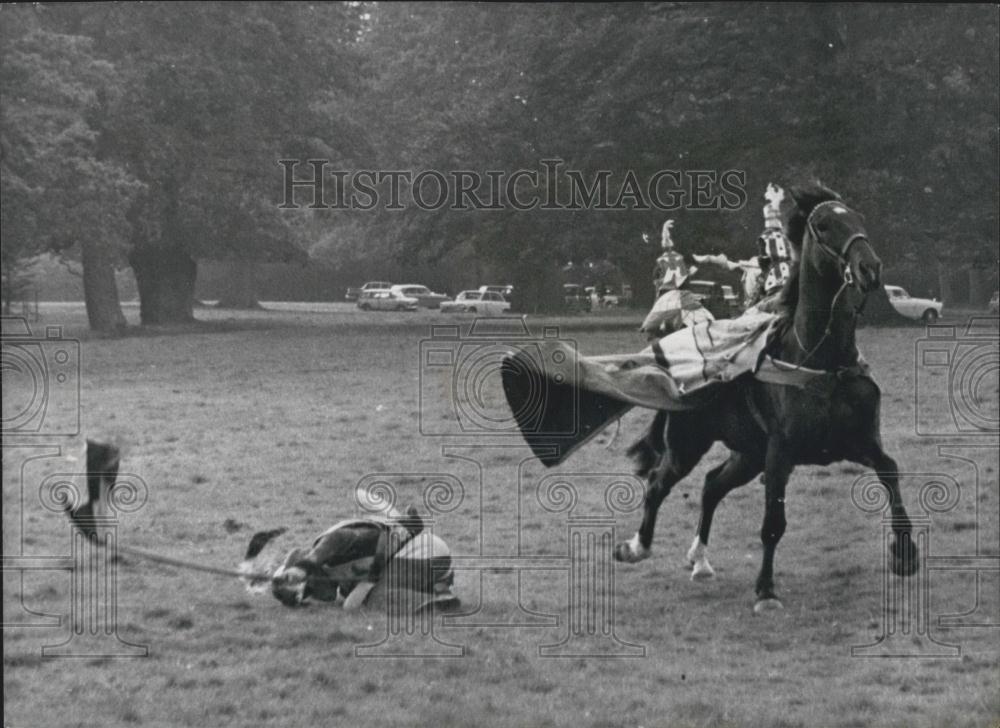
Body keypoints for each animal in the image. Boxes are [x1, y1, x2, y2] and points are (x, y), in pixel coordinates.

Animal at [616, 185, 920, 612]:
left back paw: (700, 561)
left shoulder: (857, 442)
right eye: (824, 225)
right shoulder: (780, 454)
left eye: (857, 218)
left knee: (711, 485)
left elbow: (891, 472)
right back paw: (636, 547)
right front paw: (765, 591)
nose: (869, 268)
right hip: (688, 446)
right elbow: (773, 524)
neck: (822, 360)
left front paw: (905, 554)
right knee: (659, 483)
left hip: (747, 455)